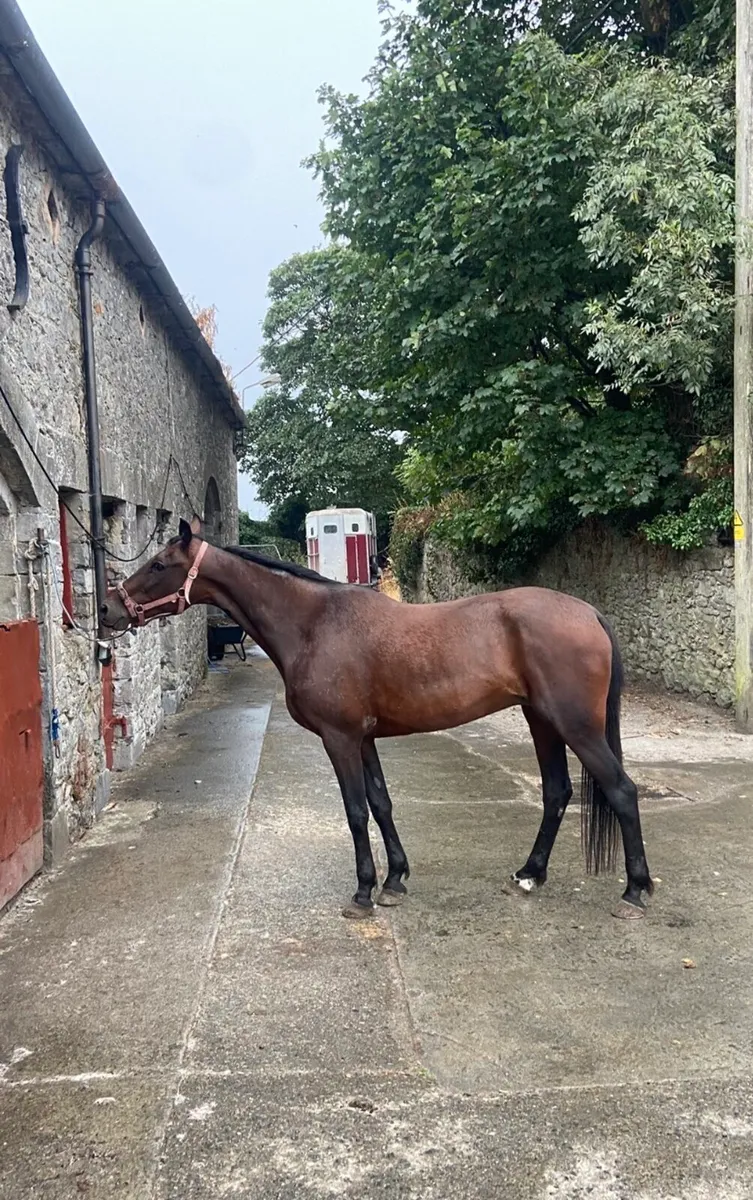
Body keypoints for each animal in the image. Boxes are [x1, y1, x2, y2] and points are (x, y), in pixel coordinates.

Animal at [100, 517, 653, 922]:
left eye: (159, 564)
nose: (107, 609)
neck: (313, 624)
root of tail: (587, 612)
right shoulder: (363, 738)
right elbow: (382, 804)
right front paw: (395, 880)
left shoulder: (339, 738)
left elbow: (355, 811)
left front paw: (364, 892)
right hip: (542, 721)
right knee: (557, 792)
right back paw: (530, 874)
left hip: (577, 727)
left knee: (621, 790)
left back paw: (635, 892)